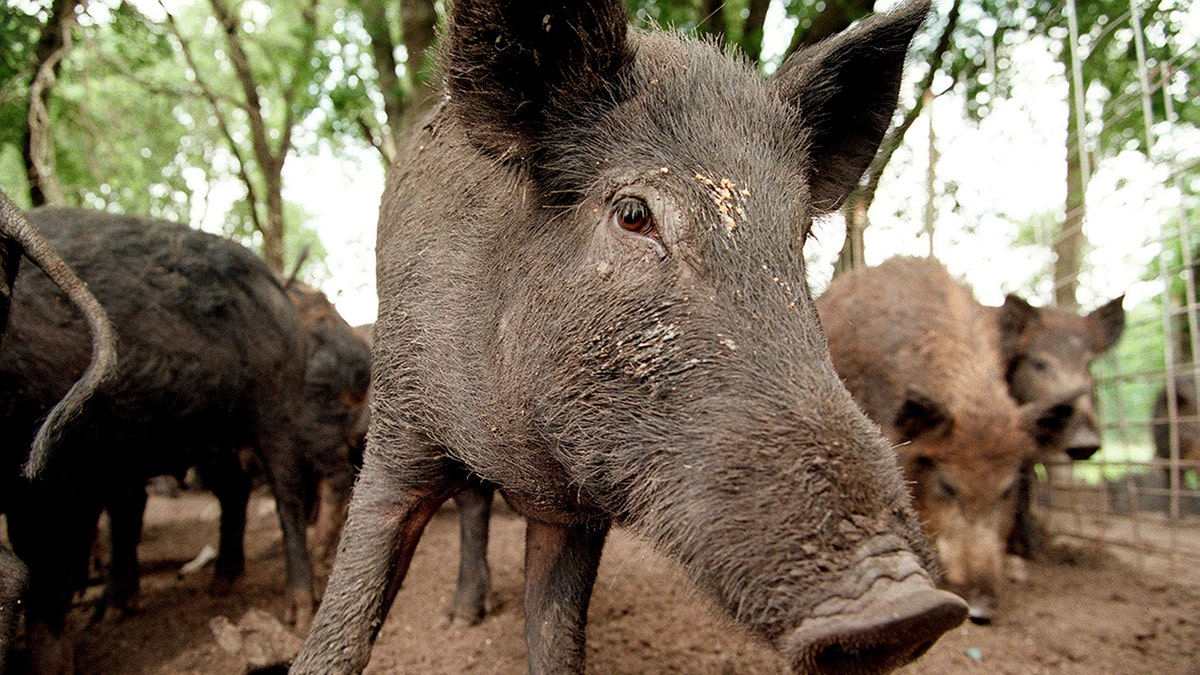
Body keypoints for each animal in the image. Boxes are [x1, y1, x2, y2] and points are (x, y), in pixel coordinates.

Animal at [297, 2, 964, 667]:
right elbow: (345, 619)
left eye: (798, 234)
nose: (909, 609)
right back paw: (462, 617)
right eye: (634, 214)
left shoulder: (576, 514)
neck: (523, 456)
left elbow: (557, 639)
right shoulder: (396, 429)